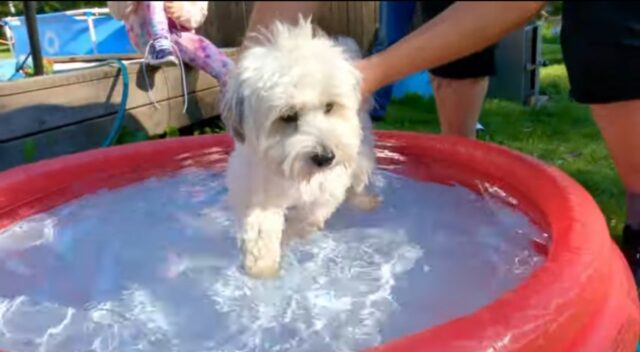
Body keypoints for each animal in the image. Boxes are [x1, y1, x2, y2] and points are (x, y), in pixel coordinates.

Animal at [221, 18, 380, 278]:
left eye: (329, 106)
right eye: (287, 116)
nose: (325, 157)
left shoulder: (327, 190)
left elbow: (309, 216)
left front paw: (292, 235)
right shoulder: (258, 192)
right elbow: (261, 228)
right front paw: (261, 265)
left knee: (358, 180)